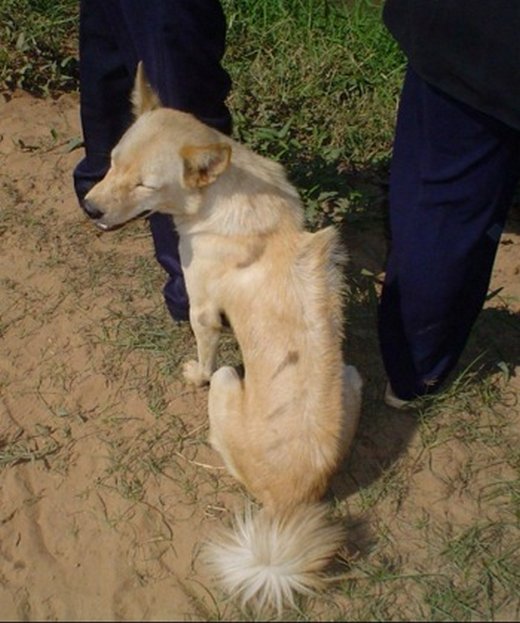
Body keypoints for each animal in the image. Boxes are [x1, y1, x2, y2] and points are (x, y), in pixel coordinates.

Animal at [85, 63, 362, 616]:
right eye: (111, 163)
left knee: (221, 386)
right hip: (352, 374)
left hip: (231, 381)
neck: (224, 192)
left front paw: (193, 370)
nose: (89, 208)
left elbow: (203, 351)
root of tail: (288, 504)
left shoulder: (203, 312)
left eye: (144, 184)